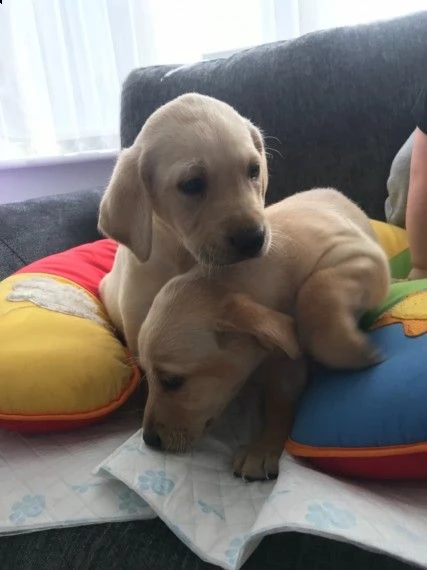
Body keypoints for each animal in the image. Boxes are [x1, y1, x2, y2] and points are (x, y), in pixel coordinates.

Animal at [138, 187, 392, 480]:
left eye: (172, 381)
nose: (149, 440)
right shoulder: (282, 359)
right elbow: (280, 400)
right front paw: (263, 446)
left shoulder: (361, 256)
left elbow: (316, 289)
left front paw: (353, 351)